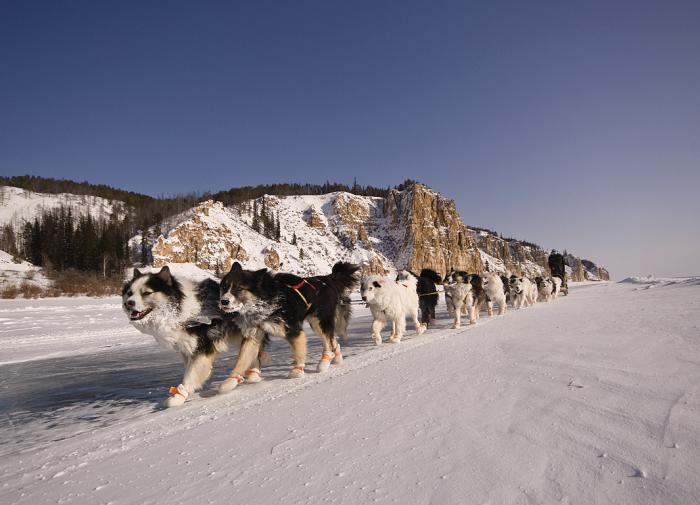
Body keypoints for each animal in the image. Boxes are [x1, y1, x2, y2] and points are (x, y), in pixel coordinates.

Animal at [121, 268, 266, 406]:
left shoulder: (202, 348)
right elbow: (190, 370)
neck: (182, 310)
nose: (129, 303)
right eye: (129, 293)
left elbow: (191, 375)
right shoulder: (186, 348)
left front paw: (179, 396)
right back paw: (253, 375)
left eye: (146, 293)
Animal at [219, 262, 360, 388]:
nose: (224, 301)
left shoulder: (293, 330)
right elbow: (242, 359)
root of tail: (327, 278)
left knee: (327, 341)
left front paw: (297, 371)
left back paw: (324, 362)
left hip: (319, 321)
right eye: (224, 287)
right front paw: (230, 381)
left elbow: (298, 351)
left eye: (239, 288)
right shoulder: (253, 335)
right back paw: (336, 356)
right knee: (332, 340)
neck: (266, 300)